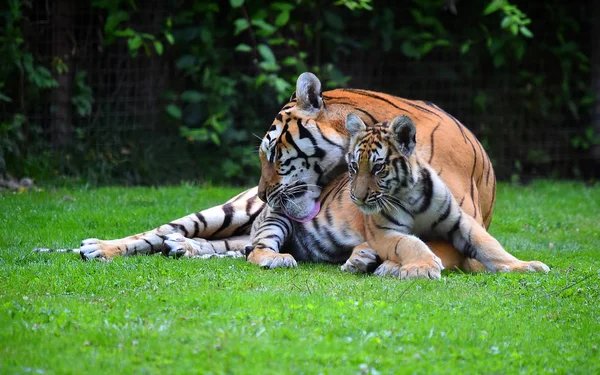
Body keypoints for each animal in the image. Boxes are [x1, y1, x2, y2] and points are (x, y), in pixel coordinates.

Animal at [58, 72, 494, 268]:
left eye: (272, 154)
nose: (264, 195)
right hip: (229, 212)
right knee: (162, 231)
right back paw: (100, 247)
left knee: (236, 247)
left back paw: (185, 248)